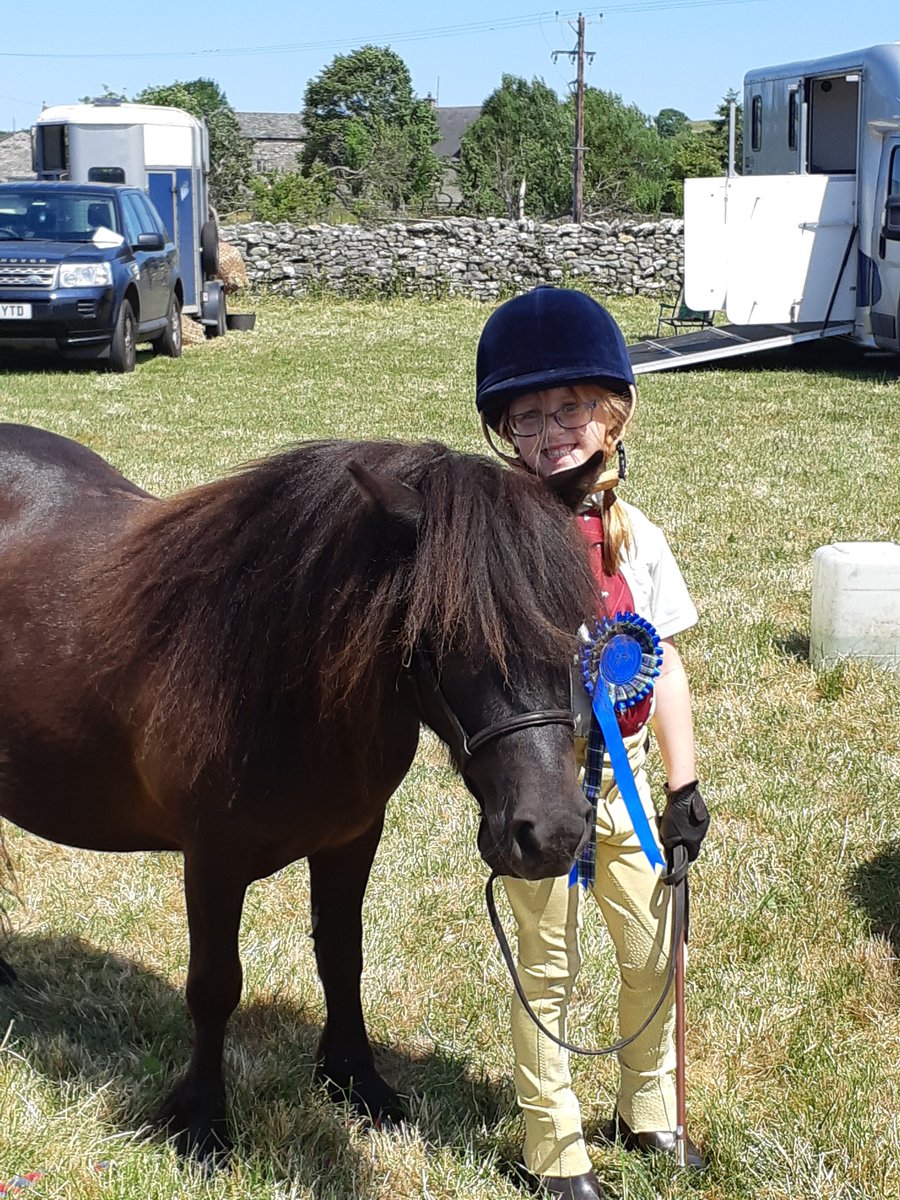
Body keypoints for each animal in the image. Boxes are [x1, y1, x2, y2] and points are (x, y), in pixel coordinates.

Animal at [0, 422, 602, 1162]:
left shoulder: (352, 838)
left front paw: (356, 1082)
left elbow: (342, 957)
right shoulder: (212, 860)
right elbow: (214, 985)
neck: (275, 682)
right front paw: (201, 1121)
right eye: (438, 632)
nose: (553, 834)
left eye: (573, 628)